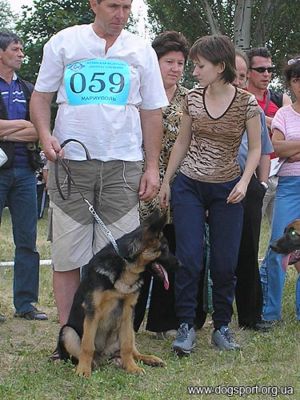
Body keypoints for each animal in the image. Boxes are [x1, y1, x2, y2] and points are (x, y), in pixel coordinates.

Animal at [56, 211, 179, 376]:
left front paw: (131, 367)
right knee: (82, 349)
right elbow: (87, 346)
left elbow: (127, 346)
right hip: (67, 331)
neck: (126, 267)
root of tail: (106, 357)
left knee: (132, 350)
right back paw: (91, 364)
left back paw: (146, 359)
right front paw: (83, 370)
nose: (180, 264)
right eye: (164, 249)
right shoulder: (92, 311)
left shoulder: (128, 312)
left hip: (129, 328)